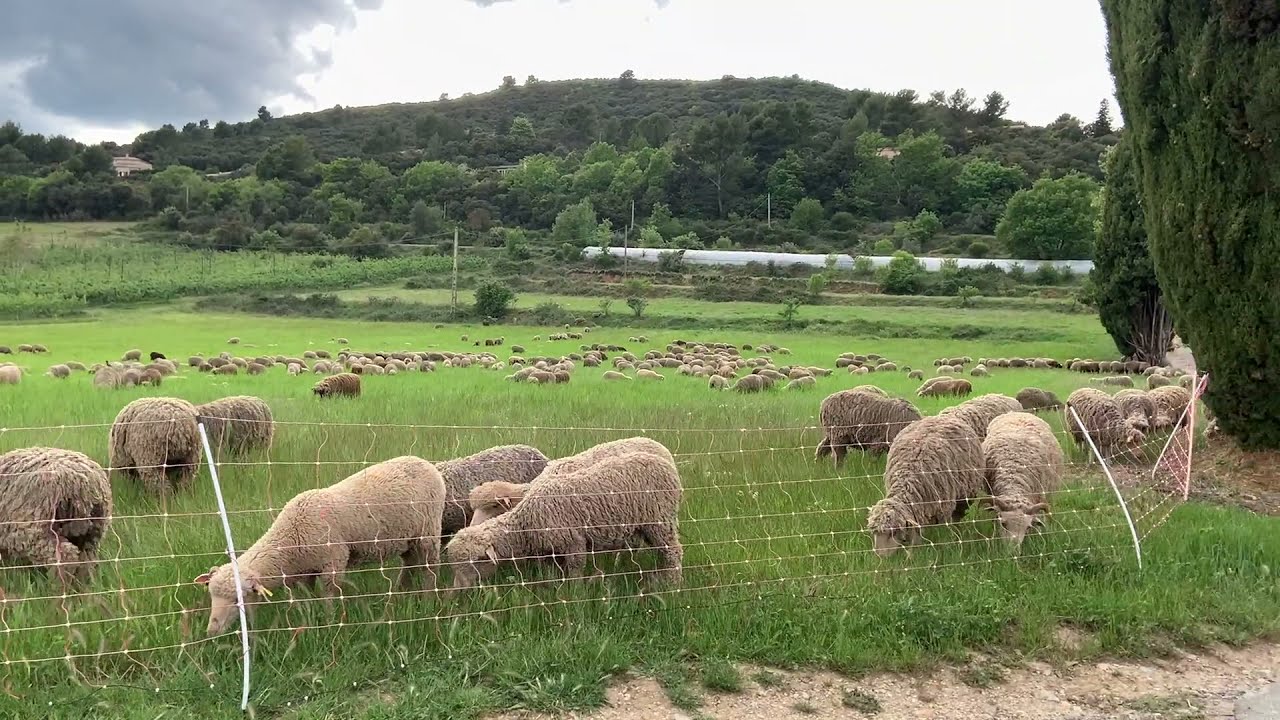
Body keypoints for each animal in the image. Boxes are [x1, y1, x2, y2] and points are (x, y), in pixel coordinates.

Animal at [194, 456, 446, 635]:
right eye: (211, 595)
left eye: (239, 599)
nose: (212, 630)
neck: (290, 537)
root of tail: (425, 462)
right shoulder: (306, 570)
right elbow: (308, 596)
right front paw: (309, 616)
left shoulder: (333, 561)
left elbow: (328, 596)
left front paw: (329, 621)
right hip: (407, 537)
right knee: (410, 563)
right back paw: (401, 595)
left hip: (429, 530)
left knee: (430, 568)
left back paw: (427, 601)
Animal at [445, 452, 683, 591]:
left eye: (475, 561)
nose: (456, 591)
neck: (525, 518)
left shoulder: (574, 541)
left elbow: (575, 569)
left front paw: (575, 592)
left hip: (660, 520)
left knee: (673, 551)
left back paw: (671, 583)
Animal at [866, 415, 987, 557]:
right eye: (874, 533)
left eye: (893, 532)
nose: (881, 557)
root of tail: (940, 417)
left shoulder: (943, 507)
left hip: (965, 495)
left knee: (957, 516)